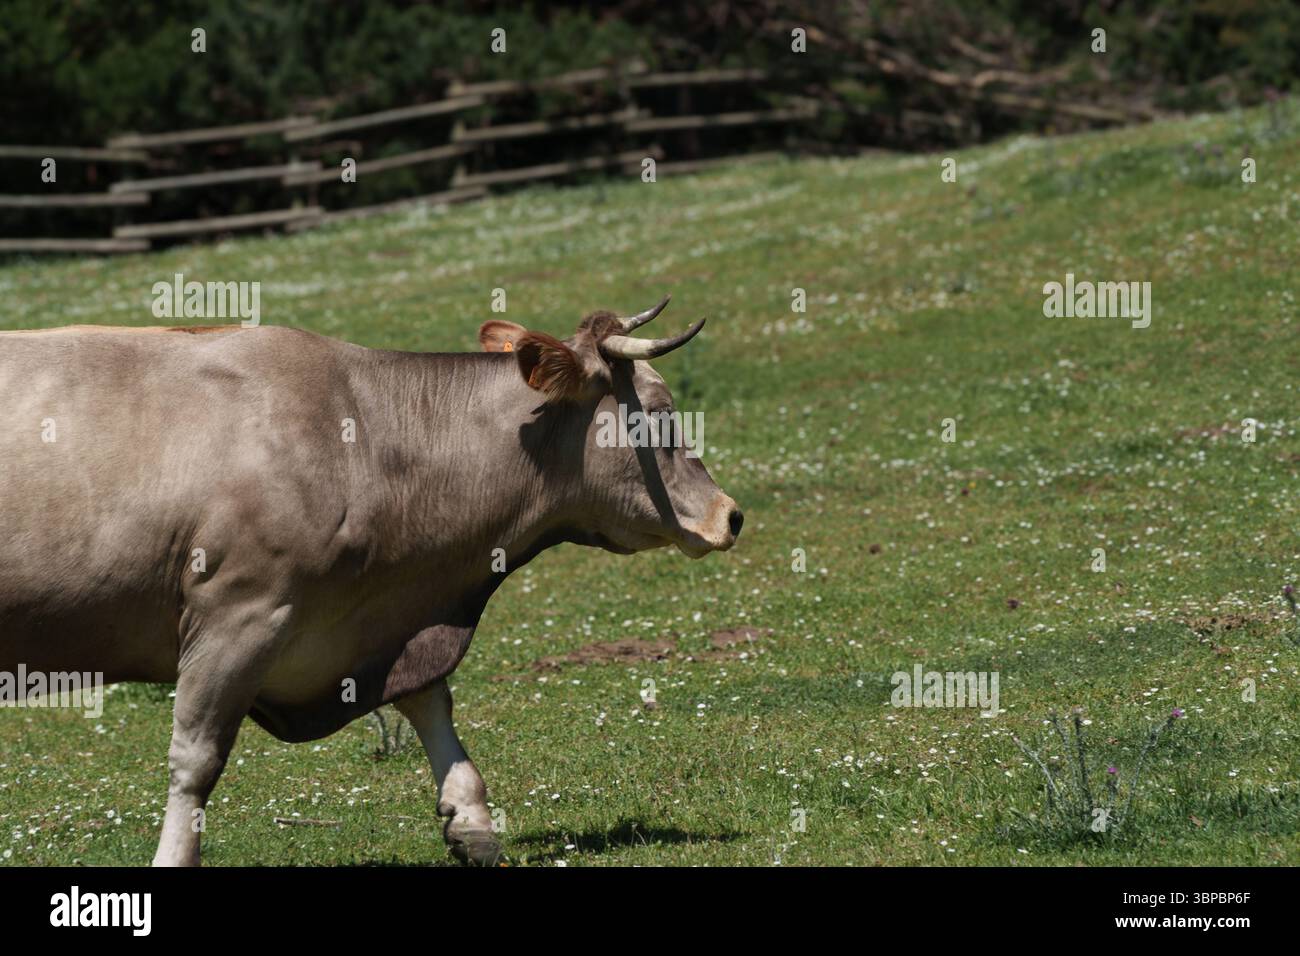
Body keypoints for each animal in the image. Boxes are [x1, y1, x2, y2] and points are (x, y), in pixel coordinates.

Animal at [0, 296, 742, 866]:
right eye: (658, 413)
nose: (729, 515)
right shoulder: (239, 614)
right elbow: (196, 760)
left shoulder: (384, 623)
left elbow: (429, 702)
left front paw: (471, 819)